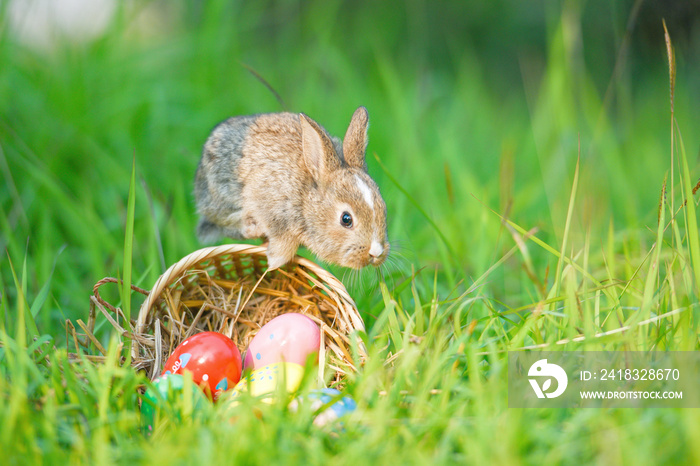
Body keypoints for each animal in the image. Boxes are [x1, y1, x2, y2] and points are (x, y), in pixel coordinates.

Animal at [194, 107, 388, 270]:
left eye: (384, 210)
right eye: (346, 219)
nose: (376, 252)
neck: (305, 200)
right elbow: (283, 245)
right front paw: (273, 264)